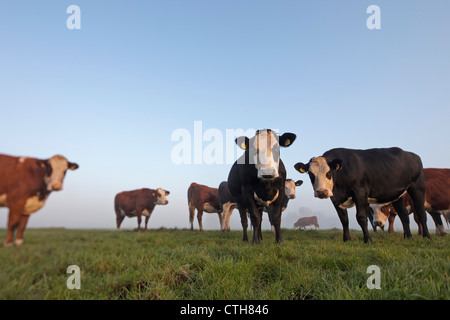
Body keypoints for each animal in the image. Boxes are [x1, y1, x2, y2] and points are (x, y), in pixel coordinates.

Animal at [294, 148, 430, 242]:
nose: (322, 192)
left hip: (418, 188)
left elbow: (361, 217)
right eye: (310, 174)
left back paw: (427, 236)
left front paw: (368, 240)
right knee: (404, 215)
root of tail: (412, 155)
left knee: (421, 213)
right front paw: (347, 239)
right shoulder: (336, 198)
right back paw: (408, 237)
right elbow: (344, 219)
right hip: (397, 195)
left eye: (329, 173)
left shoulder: (360, 193)